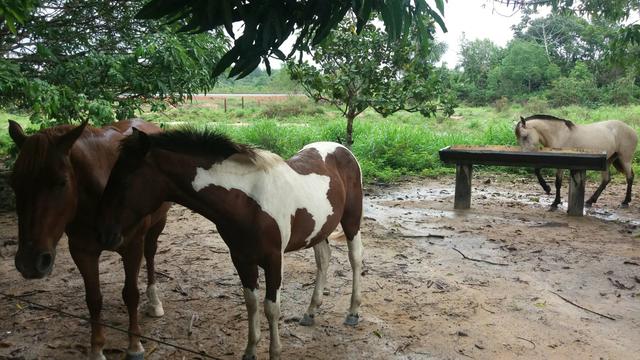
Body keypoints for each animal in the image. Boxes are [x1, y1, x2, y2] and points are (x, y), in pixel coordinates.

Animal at [8, 120, 172, 360]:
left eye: (61, 182)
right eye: (14, 183)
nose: (29, 262)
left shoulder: (132, 246)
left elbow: (131, 294)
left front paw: (134, 345)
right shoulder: (82, 251)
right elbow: (93, 299)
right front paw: (97, 349)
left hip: (158, 224)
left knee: (150, 254)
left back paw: (154, 301)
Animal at [96, 128, 364, 358]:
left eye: (124, 181)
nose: (105, 235)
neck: (247, 202)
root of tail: (342, 149)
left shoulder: (274, 259)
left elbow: (271, 307)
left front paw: (274, 352)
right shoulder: (241, 258)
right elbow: (251, 303)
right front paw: (250, 350)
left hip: (352, 221)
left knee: (355, 259)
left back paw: (352, 312)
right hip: (319, 229)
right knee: (324, 259)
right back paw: (311, 311)